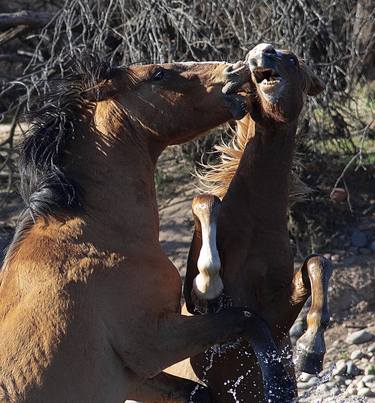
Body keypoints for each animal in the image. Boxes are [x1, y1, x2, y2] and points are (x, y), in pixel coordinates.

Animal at [0, 55, 294, 402]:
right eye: (158, 74)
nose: (235, 69)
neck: (94, 236)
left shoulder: (136, 377)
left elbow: (199, 391)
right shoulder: (154, 342)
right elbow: (248, 319)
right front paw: (278, 384)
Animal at [178, 42, 334, 402]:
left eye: (293, 60)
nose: (264, 51)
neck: (254, 225)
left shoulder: (275, 316)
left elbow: (317, 263)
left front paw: (310, 349)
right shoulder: (199, 308)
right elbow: (206, 201)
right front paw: (210, 284)